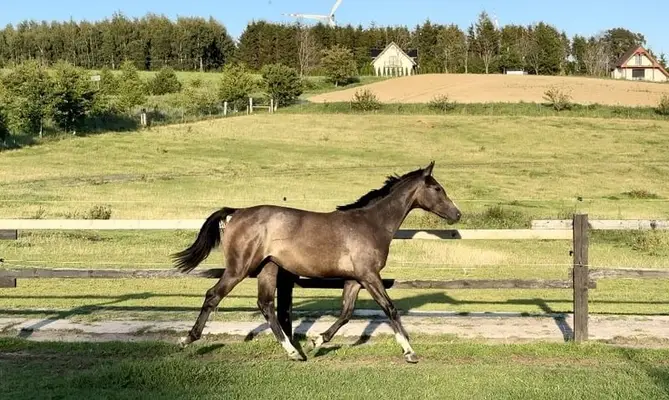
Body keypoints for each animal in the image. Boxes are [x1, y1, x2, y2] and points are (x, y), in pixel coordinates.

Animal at [172, 161, 461, 363]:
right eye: (437, 188)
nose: (457, 214)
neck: (371, 224)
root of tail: (237, 212)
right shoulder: (369, 275)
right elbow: (389, 308)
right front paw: (410, 352)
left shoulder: (354, 279)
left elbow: (346, 313)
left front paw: (316, 341)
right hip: (238, 268)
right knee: (213, 296)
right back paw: (187, 339)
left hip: (268, 268)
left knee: (266, 305)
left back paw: (294, 352)